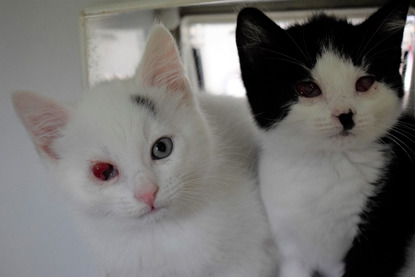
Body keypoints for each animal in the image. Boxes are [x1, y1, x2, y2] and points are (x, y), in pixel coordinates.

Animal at [237, 0, 415, 276]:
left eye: (365, 83)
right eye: (308, 88)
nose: (345, 114)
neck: (328, 165)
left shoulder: (380, 238)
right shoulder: (290, 246)